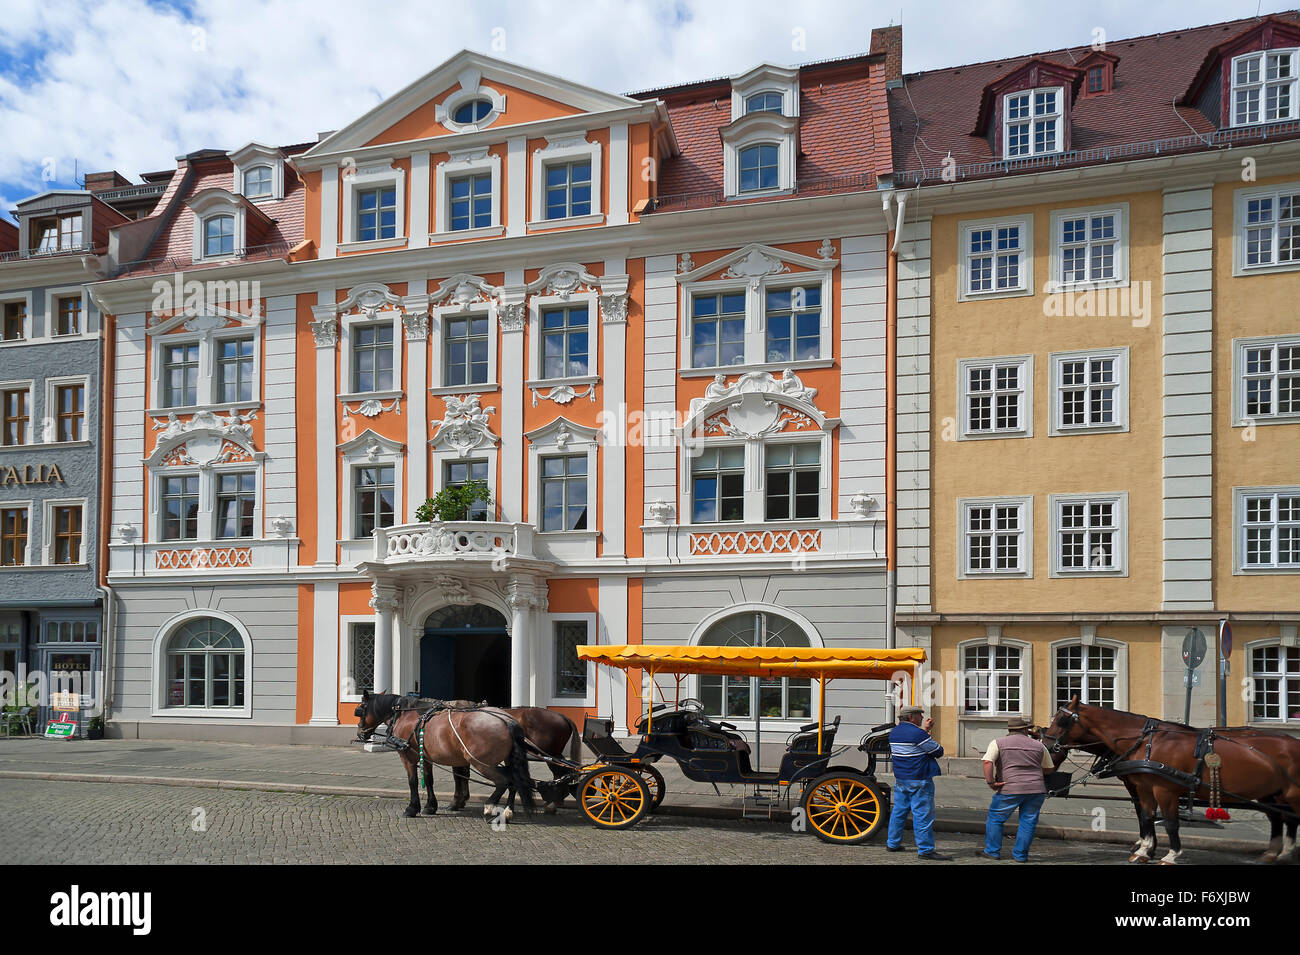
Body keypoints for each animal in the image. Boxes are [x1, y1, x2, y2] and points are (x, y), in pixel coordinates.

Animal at [353, 696, 535, 821]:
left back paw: (490, 806)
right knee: (514, 781)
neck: (404, 715)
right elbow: (429, 780)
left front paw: (412, 808)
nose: (360, 733)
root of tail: (507, 720)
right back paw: (507, 811)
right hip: (505, 760)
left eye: (361, 711)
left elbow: (413, 781)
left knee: (504, 781)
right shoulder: (426, 757)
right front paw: (430, 807)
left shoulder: (407, 756)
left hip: (481, 763)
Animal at [1040, 696, 1300, 867]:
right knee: (1280, 818)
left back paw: (1284, 852)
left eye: (1061, 721)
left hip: (1290, 793)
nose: (1046, 746)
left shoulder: (1163, 789)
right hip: (1272, 793)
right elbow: (1146, 816)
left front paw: (1169, 855)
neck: (1144, 742)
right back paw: (1274, 853)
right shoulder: (1142, 787)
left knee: (1288, 817)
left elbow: (1170, 822)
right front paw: (1144, 850)